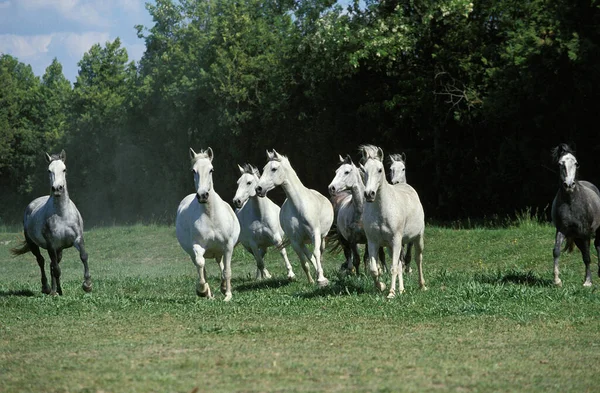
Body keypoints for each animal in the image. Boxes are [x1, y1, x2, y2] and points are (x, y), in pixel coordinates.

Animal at [10, 150, 91, 294]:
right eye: (49, 170)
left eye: (64, 169)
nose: (57, 188)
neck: (62, 214)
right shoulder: (51, 245)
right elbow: (57, 269)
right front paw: (58, 292)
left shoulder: (77, 239)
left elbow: (83, 256)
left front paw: (87, 284)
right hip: (33, 244)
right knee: (42, 261)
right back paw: (47, 288)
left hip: (59, 249)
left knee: (51, 264)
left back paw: (53, 289)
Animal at [175, 148, 240, 300]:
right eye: (193, 170)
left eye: (211, 169)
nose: (203, 195)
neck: (211, 216)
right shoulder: (197, 246)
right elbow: (201, 265)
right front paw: (202, 290)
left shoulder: (228, 246)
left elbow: (227, 271)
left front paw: (228, 295)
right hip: (194, 253)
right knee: (202, 266)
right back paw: (209, 294)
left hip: (219, 250)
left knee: (220, 264)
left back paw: (223, 287)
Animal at [255, 149, 336, 286]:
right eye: (264, 168)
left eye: (274, 169)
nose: (259, 189)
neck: (299, 206)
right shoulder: (295, 241)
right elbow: (304, 261)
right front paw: (311, 280)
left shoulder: (315, 234)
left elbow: (316, 253)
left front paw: (321, 279)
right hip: (303, 241)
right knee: (309, 255)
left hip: (322, 237)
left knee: (319, 253)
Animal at [358, 145, 424, 298]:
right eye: (364, 170)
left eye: (380, 170)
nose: (369, 194)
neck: (382, 210)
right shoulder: (374, 242)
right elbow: (374, 269)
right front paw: (381, 286)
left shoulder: (396, 240)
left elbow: (393, 267)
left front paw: (391, 293)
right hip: (390, 247)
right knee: (400, 264)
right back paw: (402, 289)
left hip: (417, 238)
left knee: (418, 259)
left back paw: (422, 286)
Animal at [552, 142, 600, 286]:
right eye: (560, 164)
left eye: (576, 163)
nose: (569, 185)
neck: (570, 203)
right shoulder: (561, 230)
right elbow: (556, 251)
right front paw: (557, 280)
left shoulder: (584, 233)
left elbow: (587, 257)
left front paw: (588, 282)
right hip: (577, 237)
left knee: (597, 246)